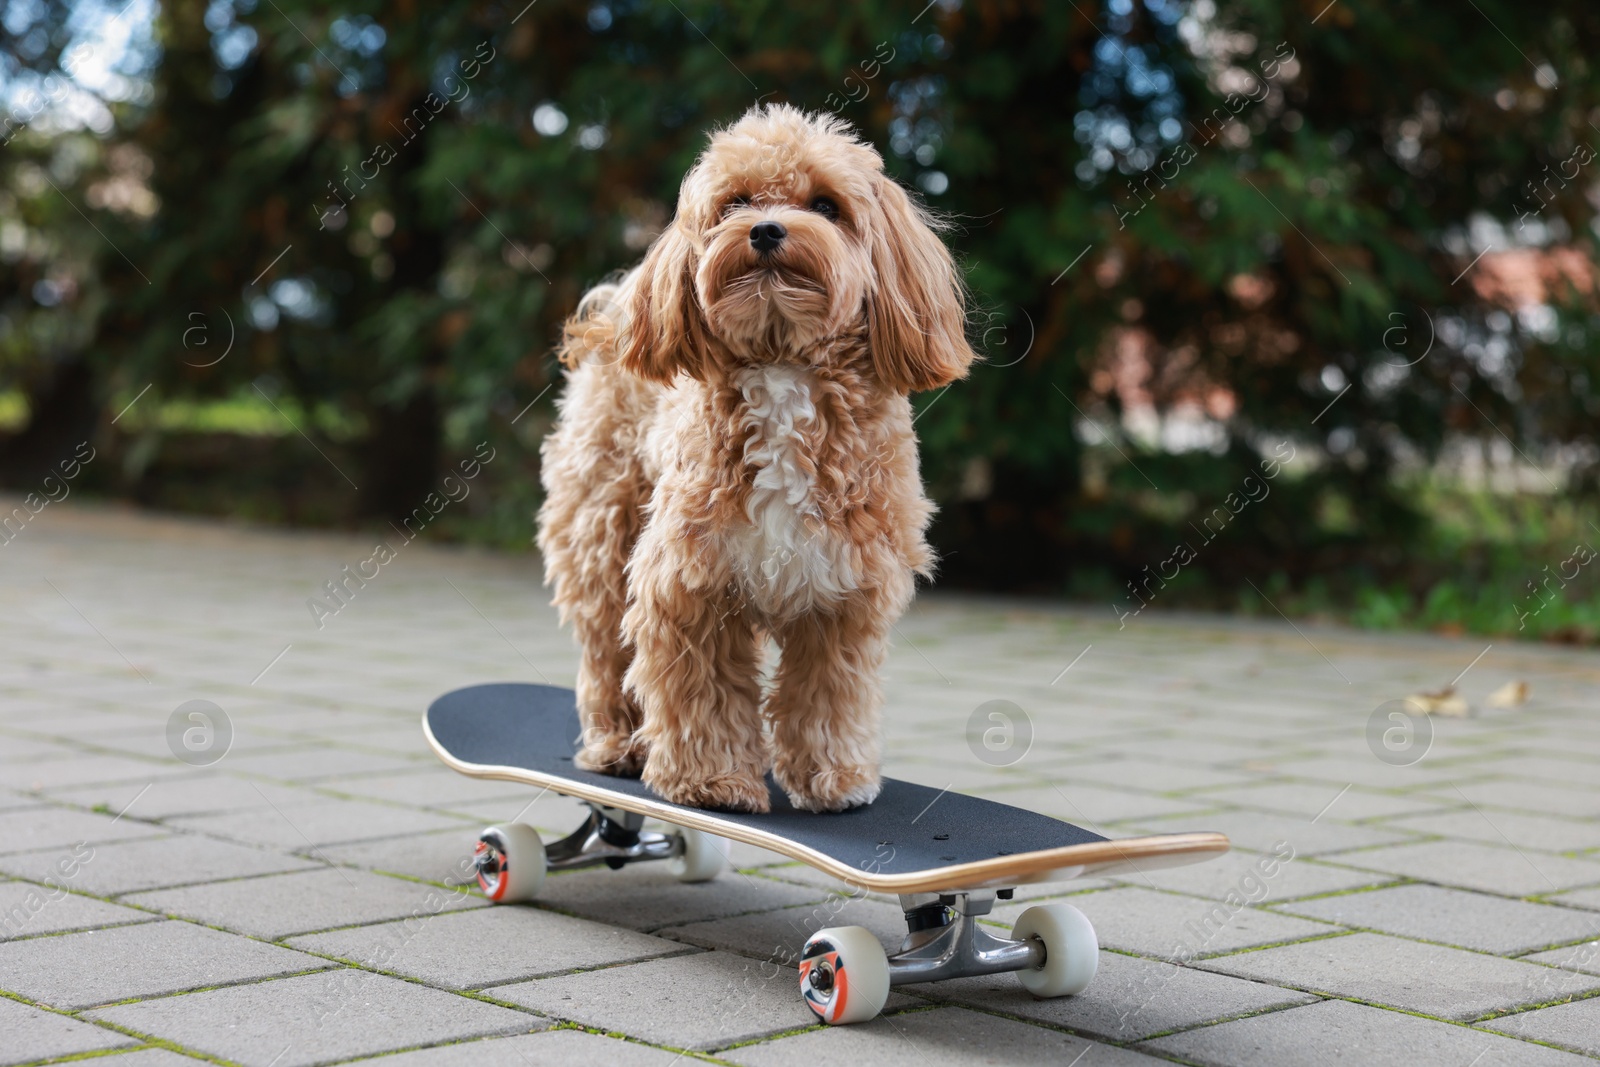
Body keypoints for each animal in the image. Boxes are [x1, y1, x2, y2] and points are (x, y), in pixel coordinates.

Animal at [534, 103, 972, 812]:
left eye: (825, 205)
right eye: (735, 202)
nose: (765, 229)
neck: (781, 361)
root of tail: (620, 306)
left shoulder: (843, 589)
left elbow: (828, 694)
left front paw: (832, 777)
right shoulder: (689, 582)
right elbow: (703, 690)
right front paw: (711, 781)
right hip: (601, 537)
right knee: (605, 652)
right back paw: (618, 744)